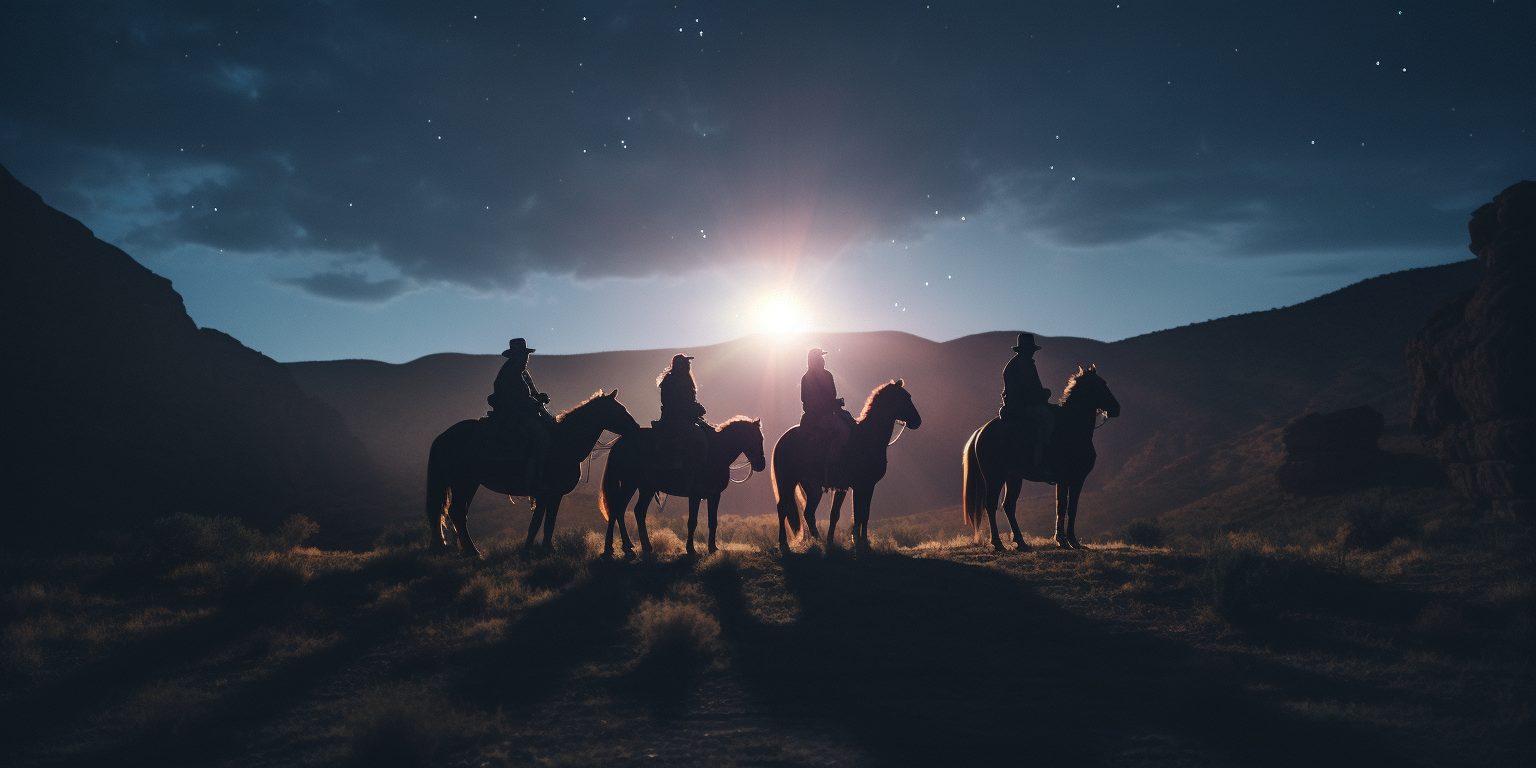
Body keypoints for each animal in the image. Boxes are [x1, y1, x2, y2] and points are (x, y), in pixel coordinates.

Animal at [423, 390, 638, 559]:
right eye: (618, 409)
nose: (636, 428)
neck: (565, 441)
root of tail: (442, 437)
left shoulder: (555, 495)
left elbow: (549, 522)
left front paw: (548, 549)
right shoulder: (545, 492)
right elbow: (536, 523)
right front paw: (528, 550)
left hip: (468, 484)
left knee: (457, 514)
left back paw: (466, 550)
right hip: (464, 483)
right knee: (457, 513)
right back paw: (473, 551)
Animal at [599, 417, 768, 556]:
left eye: (761, 438)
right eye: (754, 438)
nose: (761, 465)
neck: (716, 453)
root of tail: (620, 443)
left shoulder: (714, 495)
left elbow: (713, 522)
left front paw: (713, 548)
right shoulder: (695, 495)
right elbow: (692, 522)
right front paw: (691, 549)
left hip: (646, 488)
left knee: (638, 511)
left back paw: (644, 546)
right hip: (629, 484)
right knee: (618, 510)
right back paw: (620, 548)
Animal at [774, 379, 915, 552]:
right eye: (904, 397)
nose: (918, 420)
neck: (867, 437)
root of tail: (781, 440)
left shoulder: (859, 486)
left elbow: (859, 513)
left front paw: (858, 540)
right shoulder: (864, 485)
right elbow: (860, 513)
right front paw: (860, 541)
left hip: (812, 488)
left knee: (808, 513)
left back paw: (819, 541)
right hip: (787, 482)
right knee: (783, 507)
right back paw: (784, 542)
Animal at [964, 364, 1124, 549]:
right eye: (1100, 384)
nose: (1117, 408)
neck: (1073, 428)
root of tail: (981, 431)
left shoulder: (1067, 480)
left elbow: (1063, 507)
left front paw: (1064, 540)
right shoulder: (1073, 479)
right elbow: (1069, 507)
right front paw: (1070, 541)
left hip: (1013, 477)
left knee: (1009, 505)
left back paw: (1021, 542)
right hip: (994, 477)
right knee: (990, 505)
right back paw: (998, 544)